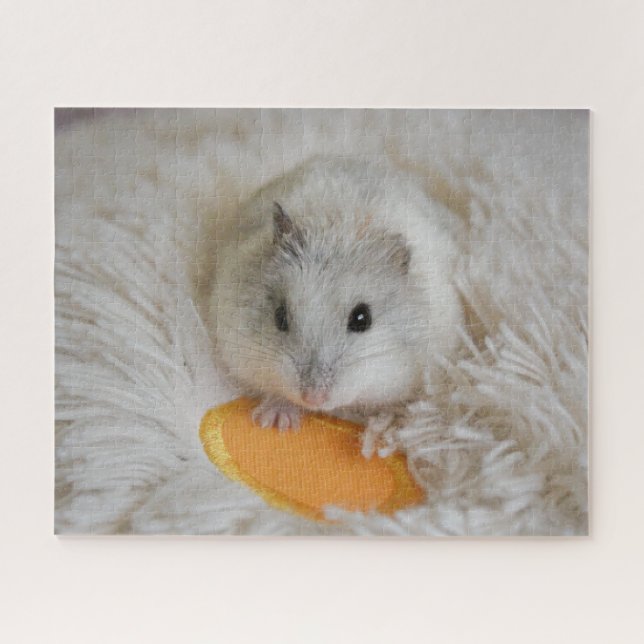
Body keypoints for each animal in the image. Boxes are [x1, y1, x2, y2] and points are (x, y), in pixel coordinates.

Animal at [208, 157, 462, 432]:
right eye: (280, 317)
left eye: (362, 319)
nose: (313, 398)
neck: (340, 229)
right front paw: (275, 422)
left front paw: (384, 425)